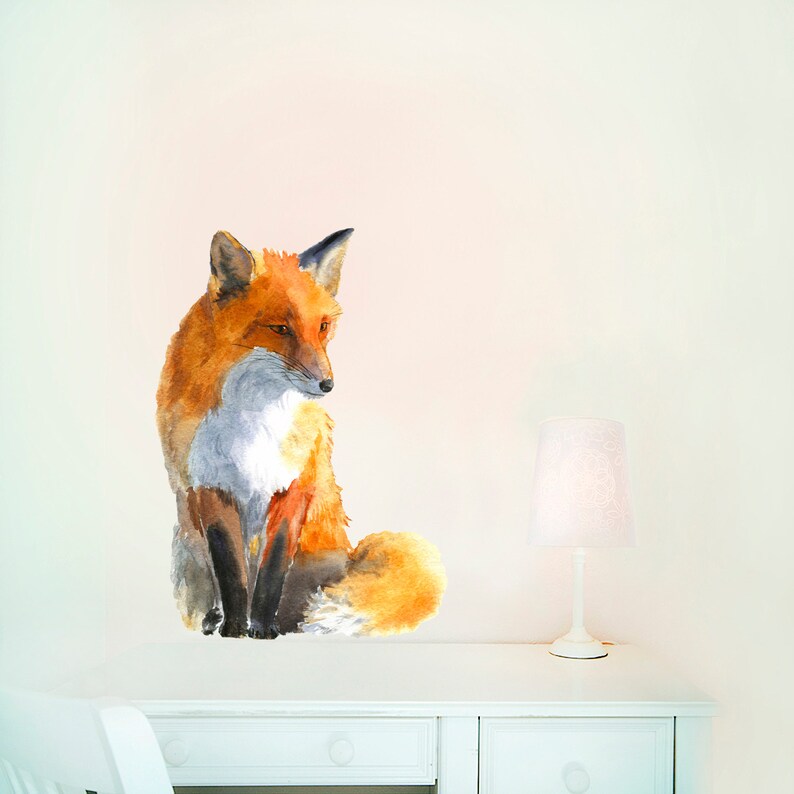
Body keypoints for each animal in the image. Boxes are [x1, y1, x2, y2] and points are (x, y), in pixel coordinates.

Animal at [156, 229, 446, 638]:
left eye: (322, 326)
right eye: (280, 329)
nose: (327, 385)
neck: (253, 417)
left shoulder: (294, 484)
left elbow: (272, 569)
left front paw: (262, 628)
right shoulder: (210, 486)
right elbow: (231, 571)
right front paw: (235, 629)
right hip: (186, 545)